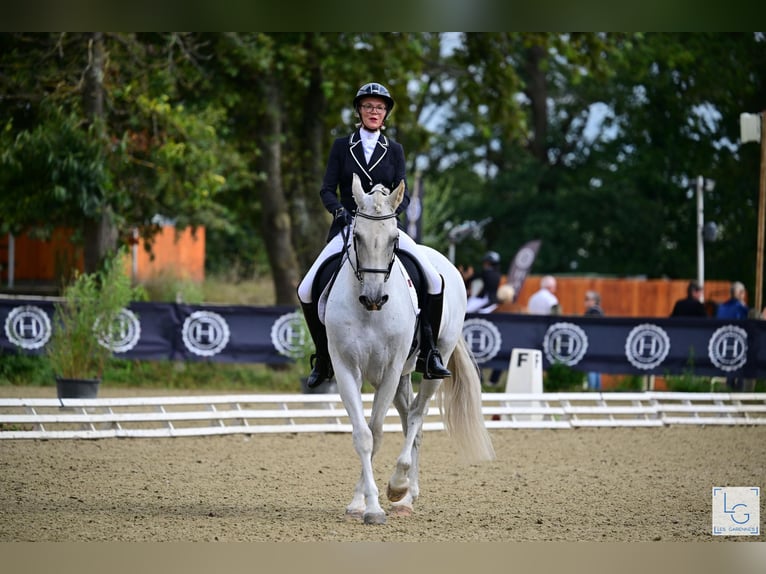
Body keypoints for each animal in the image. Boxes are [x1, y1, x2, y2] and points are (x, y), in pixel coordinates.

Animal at [326, 172, 498, 528]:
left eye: (394, 239)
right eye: (356, 237)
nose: (374, 298)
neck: (369, 312)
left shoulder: (390, 370)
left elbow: (377, 433)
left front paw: (380, 501)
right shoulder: (347, 368)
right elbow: (363, 435)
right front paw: (361, 504)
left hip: (433, 363)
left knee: (418, 415)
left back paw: (401, 491)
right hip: (403, 376)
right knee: (409, 422)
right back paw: (406, 493)